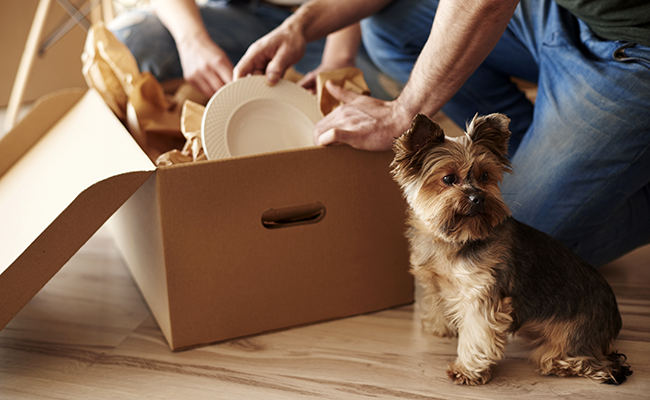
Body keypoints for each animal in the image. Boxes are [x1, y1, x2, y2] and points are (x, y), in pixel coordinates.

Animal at [390, 112, 628, 384]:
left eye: (485, 176)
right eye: (448, 178)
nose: (478, 198)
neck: (456, 238)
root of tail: (614, 318)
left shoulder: (482, 293)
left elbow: (477, 333)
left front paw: (466, 370)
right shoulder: (435, 280)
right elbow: (438, 301)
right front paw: (441, 327)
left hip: (574, 333)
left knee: (591, 362)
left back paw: (562, 364)